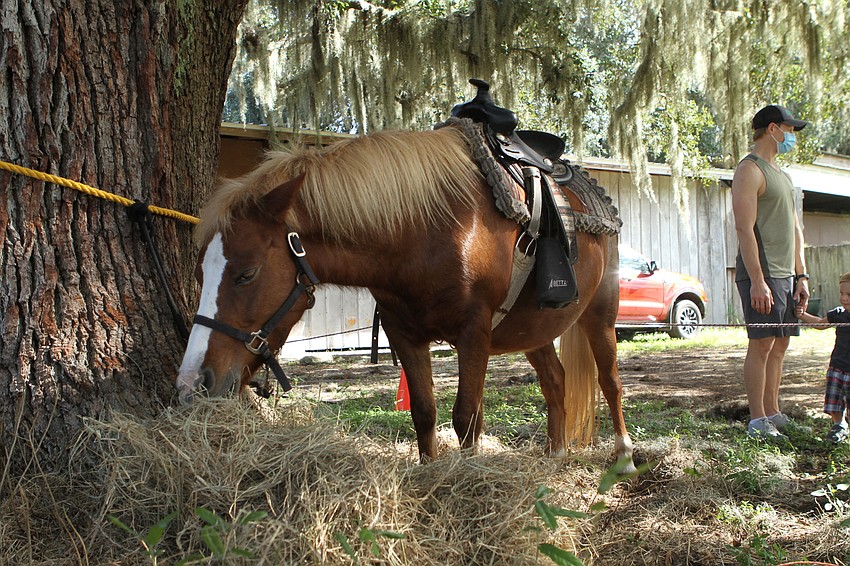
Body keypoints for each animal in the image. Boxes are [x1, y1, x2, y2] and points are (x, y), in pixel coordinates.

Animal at [175, 124, 633, 466]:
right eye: (200, 270)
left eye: (246, 274)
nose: (191, 382)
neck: (426, 230)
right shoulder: (404, 334)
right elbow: (425, 414)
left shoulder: (474, 334)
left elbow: (466, 418)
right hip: (532, 329)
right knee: (555, 381)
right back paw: (555, 456)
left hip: (600, 312)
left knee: (610, 382)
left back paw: (624, 457)